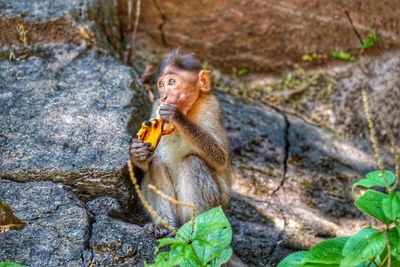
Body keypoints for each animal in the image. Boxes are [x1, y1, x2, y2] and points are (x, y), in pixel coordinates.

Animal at [130, 47, 233, 237]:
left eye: (172, 82)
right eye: (161, 85)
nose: (164, 96)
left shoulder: (210, 106)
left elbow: (220, 158)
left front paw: (175, 115)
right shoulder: (156, 105)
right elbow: (149, 159)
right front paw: (137, 151)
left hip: (216, 208)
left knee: (192, 162)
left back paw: (194, 231)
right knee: (156, 164)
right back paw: (164, 226)